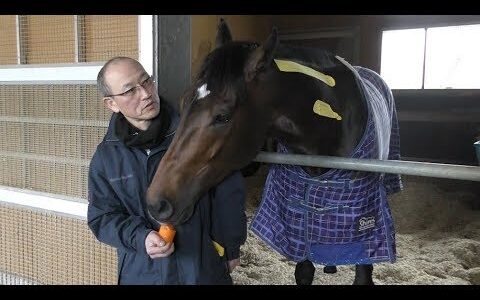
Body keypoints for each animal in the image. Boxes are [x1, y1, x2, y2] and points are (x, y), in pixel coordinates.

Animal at [146, 19, 402, 284]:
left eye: (222, 116)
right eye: (184, 102)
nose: (156, 204)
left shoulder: (366, 235)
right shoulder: (299, 229)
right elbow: (304, 270)